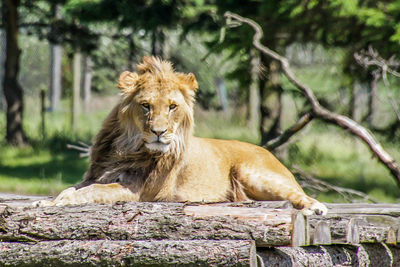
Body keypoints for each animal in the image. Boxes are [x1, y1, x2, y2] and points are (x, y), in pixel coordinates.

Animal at [36, 55, 326, 217]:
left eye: (172, 107)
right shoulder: (97, 174)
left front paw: (58, 203)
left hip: (253, 173)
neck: (127, 146)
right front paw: (48, 200)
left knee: (302, 195)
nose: (159, 132)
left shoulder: (137, 190)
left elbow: (91, 191)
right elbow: (73, 187)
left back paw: (315, 208)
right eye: (146, 106)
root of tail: (269, 152)